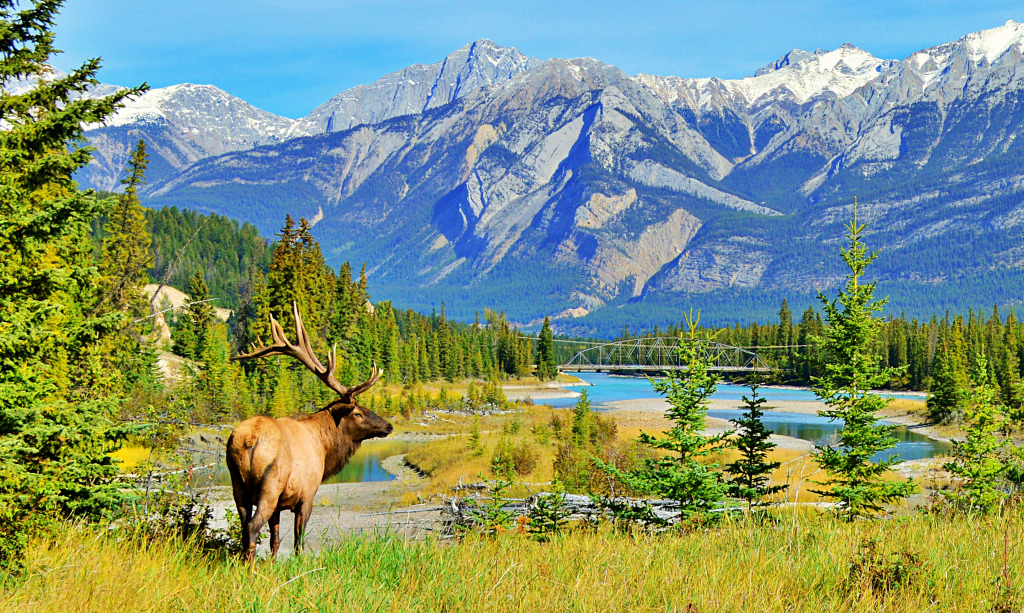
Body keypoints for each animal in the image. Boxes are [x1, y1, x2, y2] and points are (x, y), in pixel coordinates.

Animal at [226, 302, 392, 562]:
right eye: (357, 413)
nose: (388, 426)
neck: (324, 446)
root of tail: (248, 440)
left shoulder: (279, 505)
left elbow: (275, 540)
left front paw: (273, 565)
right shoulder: (306, 495)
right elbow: (298, 542)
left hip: (237, 485)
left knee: (244, 526)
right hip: (270, 484)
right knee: (252, 527)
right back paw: (249, 568)